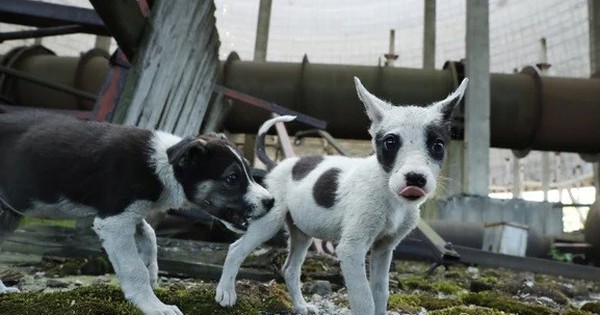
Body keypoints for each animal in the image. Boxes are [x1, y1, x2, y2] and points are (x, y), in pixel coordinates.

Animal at [0, 113, 272, 315]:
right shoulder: (114, 221)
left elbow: (150, 235)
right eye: (232, 178)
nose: (270, 201)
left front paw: (152, 272)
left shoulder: (132, 213)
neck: (164, 165)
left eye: (249, 172)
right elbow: (133, 268)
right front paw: (154, 306)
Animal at [216, 77, 468, 315]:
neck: (388, 193)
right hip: (269, 221)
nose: (415, 178)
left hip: (302, 232)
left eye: (437, 145)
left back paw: (300, 306)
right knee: (236, 249)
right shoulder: (351, 249)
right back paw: (226, 292)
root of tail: (277, 165)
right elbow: (364, 299)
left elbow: (380, 293)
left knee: (290, 269)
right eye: (390, 142)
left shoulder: (384, 249)